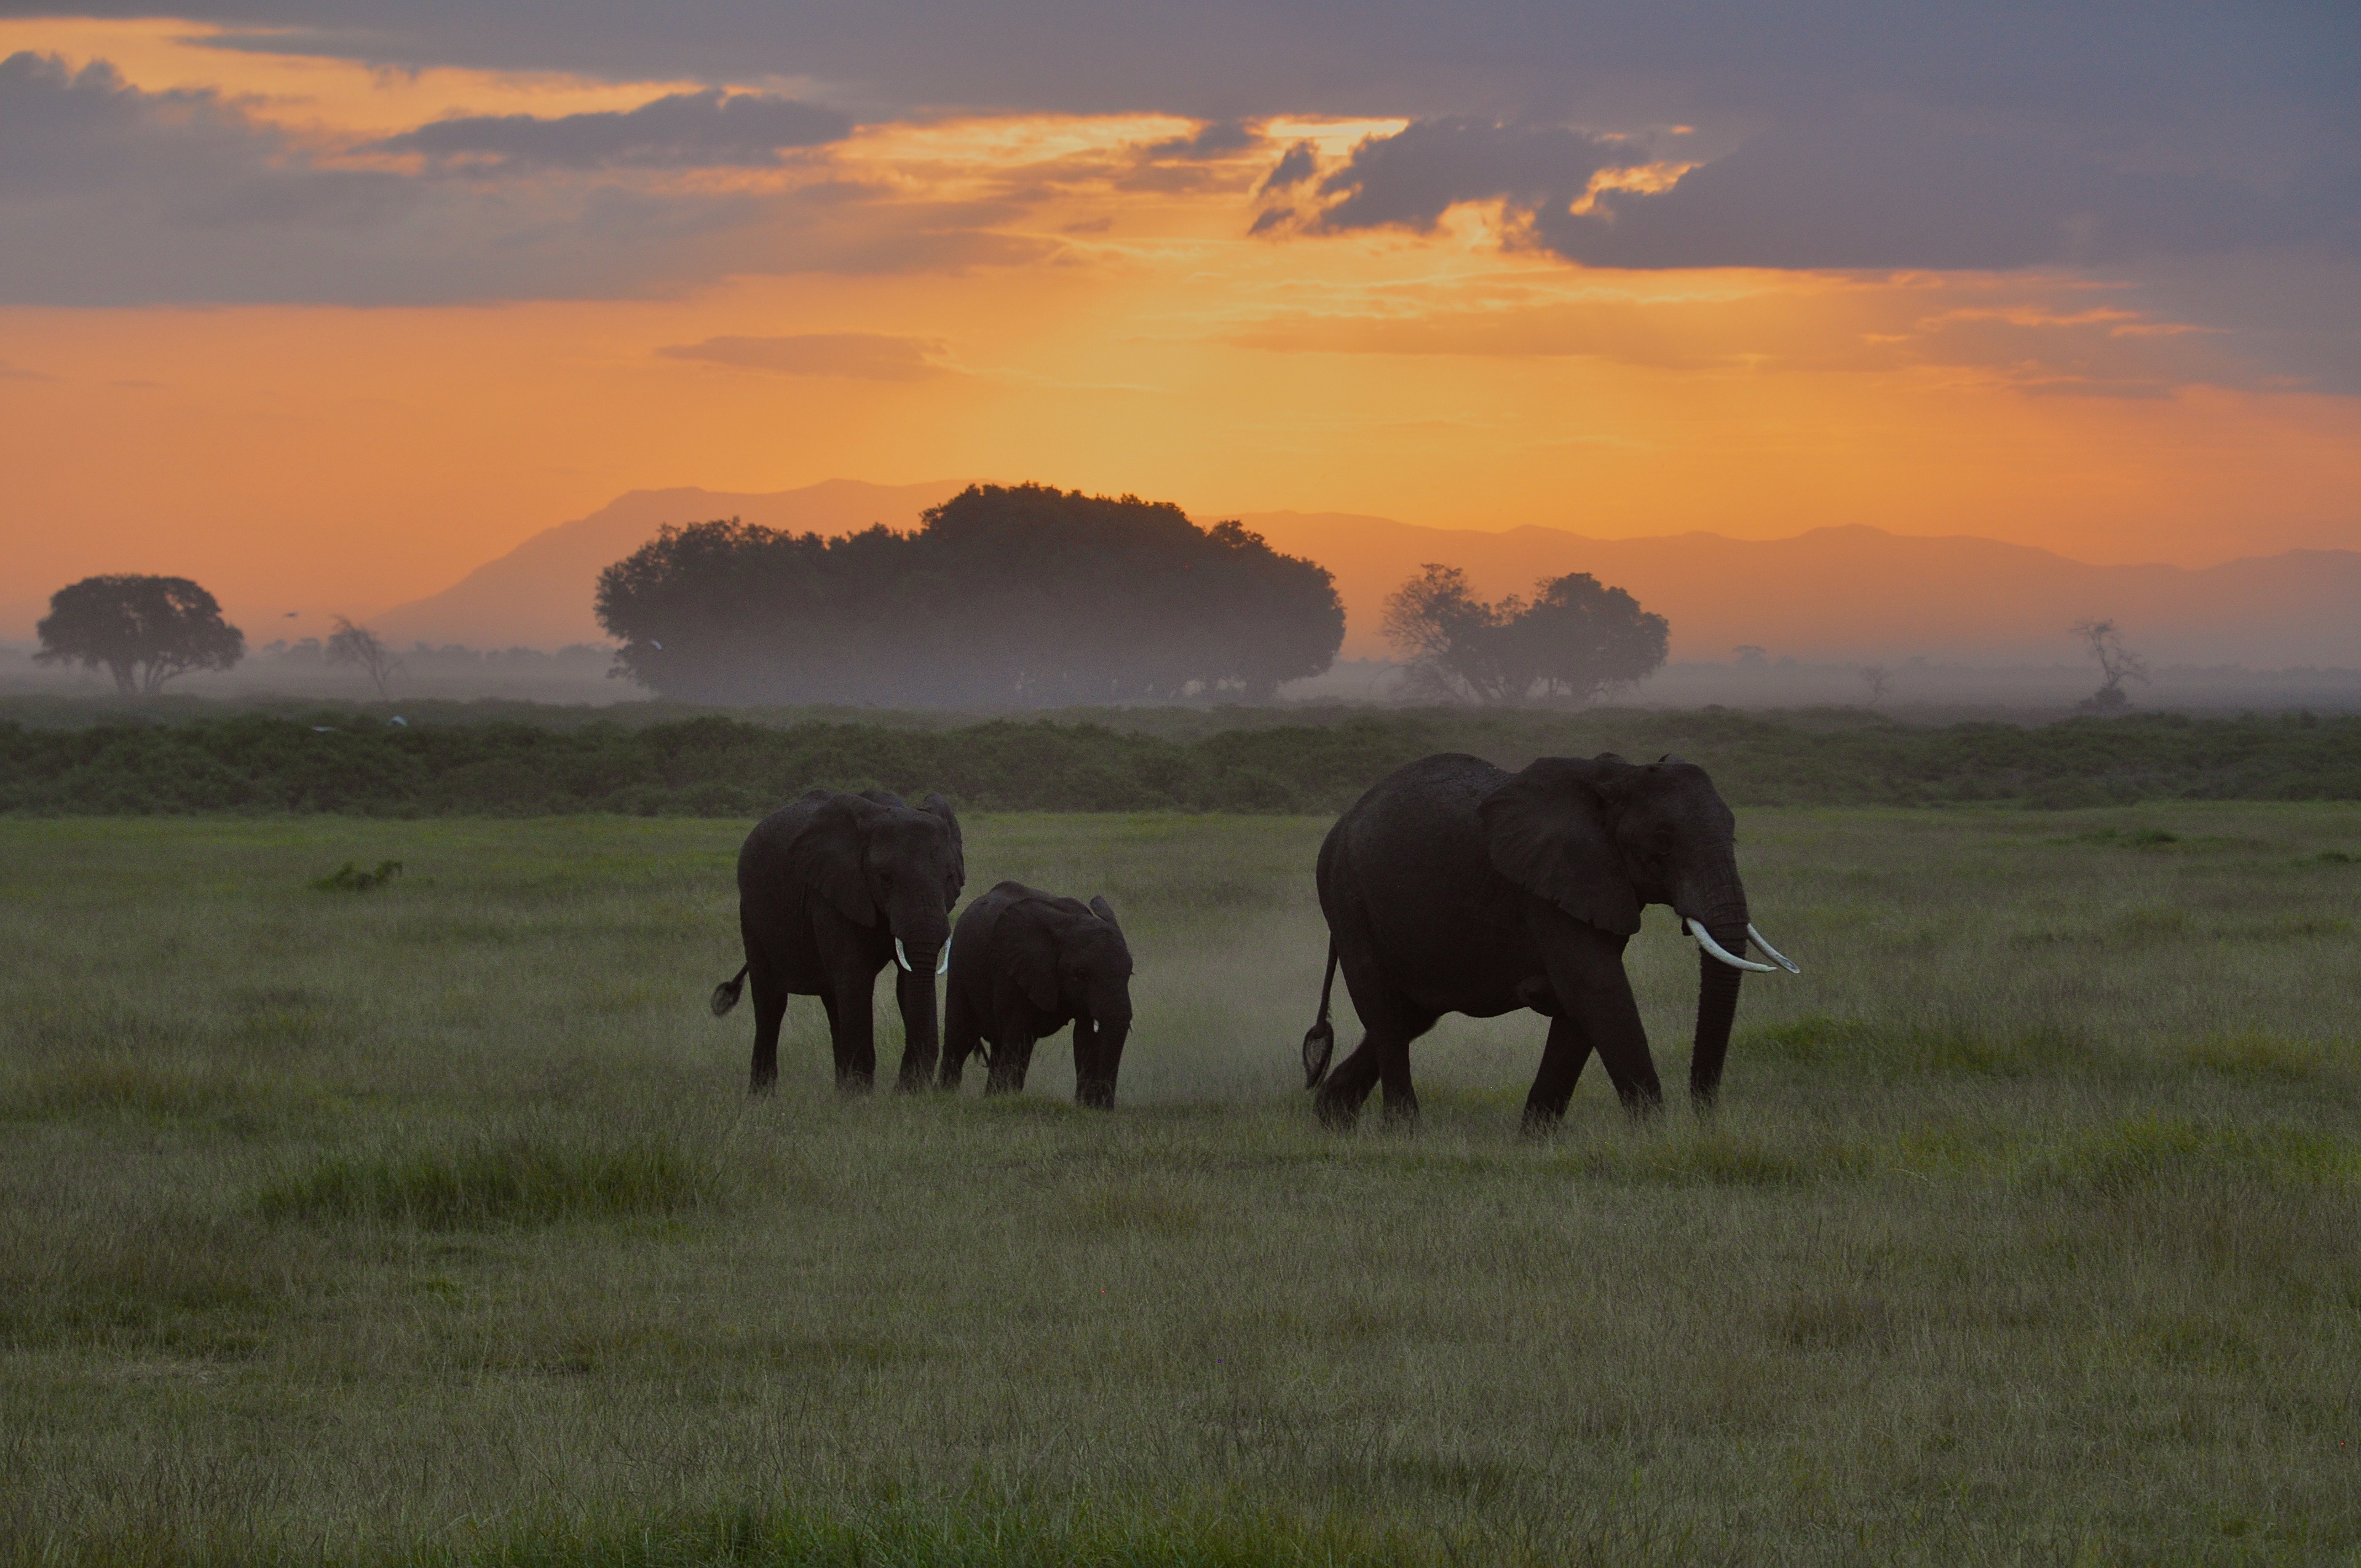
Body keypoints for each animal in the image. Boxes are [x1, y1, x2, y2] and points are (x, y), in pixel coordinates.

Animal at [711, 787, 965, 1094]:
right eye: (885, 879)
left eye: (949, 877)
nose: (903, 1090)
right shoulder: (832, 895)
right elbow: (855, 978)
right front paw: (863, 1097)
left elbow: (906, 982)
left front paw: (898, 1093)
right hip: (751, 915)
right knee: (771, 1001)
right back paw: (762, 1098)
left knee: (833, 1002)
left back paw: (841, 1092)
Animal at [940, 881, 1134, 1107]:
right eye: (1082, 974)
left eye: (1130, 973)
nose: (1105, 1107)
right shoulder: (1013, 971)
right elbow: (1021, 1037)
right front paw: (1009, 1099)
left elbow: (1088, 1038)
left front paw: (1088, 1109)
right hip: (960, 964)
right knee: (961, 1036)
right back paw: (945, 1094)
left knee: (996, 1044)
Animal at [1300, 751, 1797, 1131]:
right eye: (1662, 843)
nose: (1703, 1117)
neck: (1615, 779)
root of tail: (1344, 820)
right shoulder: (1545, 887)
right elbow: (1597, 988)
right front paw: (1657, 1137)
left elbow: (1581, 1006)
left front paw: (1535, 1142)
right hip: (1347, 896)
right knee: (1383, 1008)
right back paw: (1404, 1132)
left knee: (1412, 1015)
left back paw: (1332, 1120)